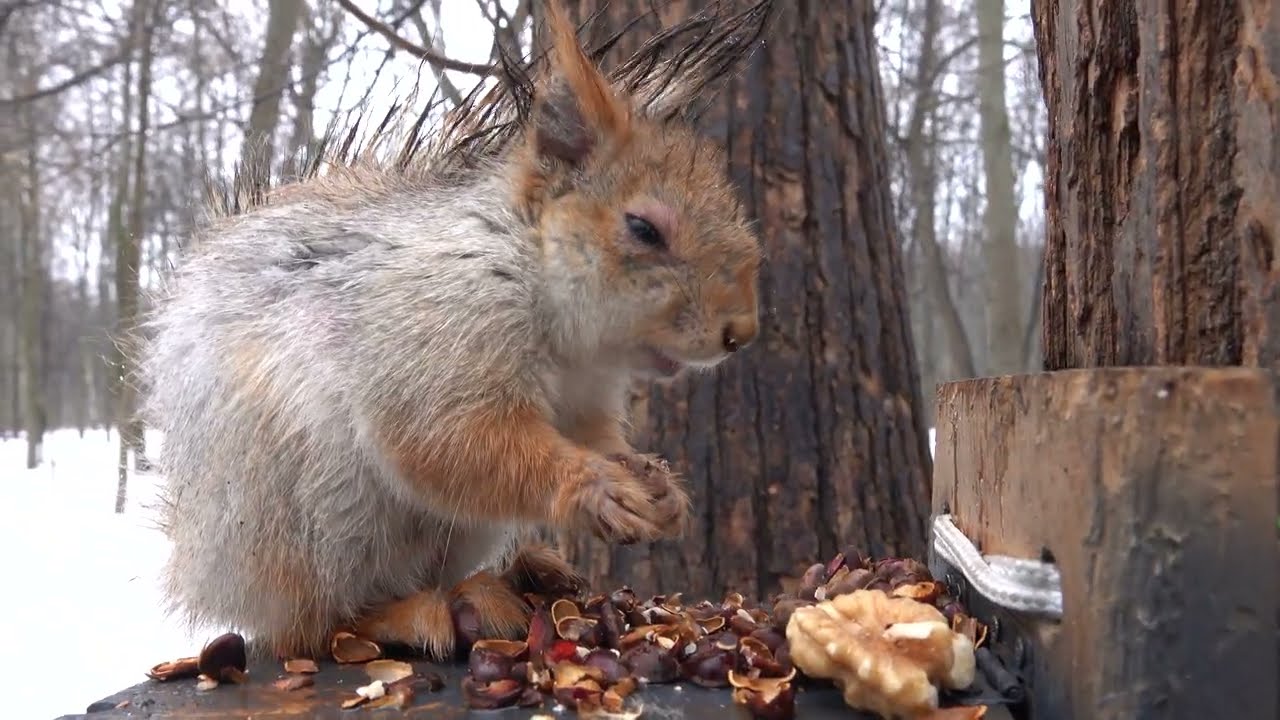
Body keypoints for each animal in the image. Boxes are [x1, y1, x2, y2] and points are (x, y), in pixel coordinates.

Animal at [138, 0, 767, 663]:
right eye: (644, 229)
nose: (740, 333)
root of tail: (208, 572)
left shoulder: (586, 396)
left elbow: (592, 435)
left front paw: (656, 483)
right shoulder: (441, 327)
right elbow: (446, 439)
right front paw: (594, 487)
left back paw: (514, 579)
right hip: (311, 518)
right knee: (310, 628)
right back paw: (400, 617)